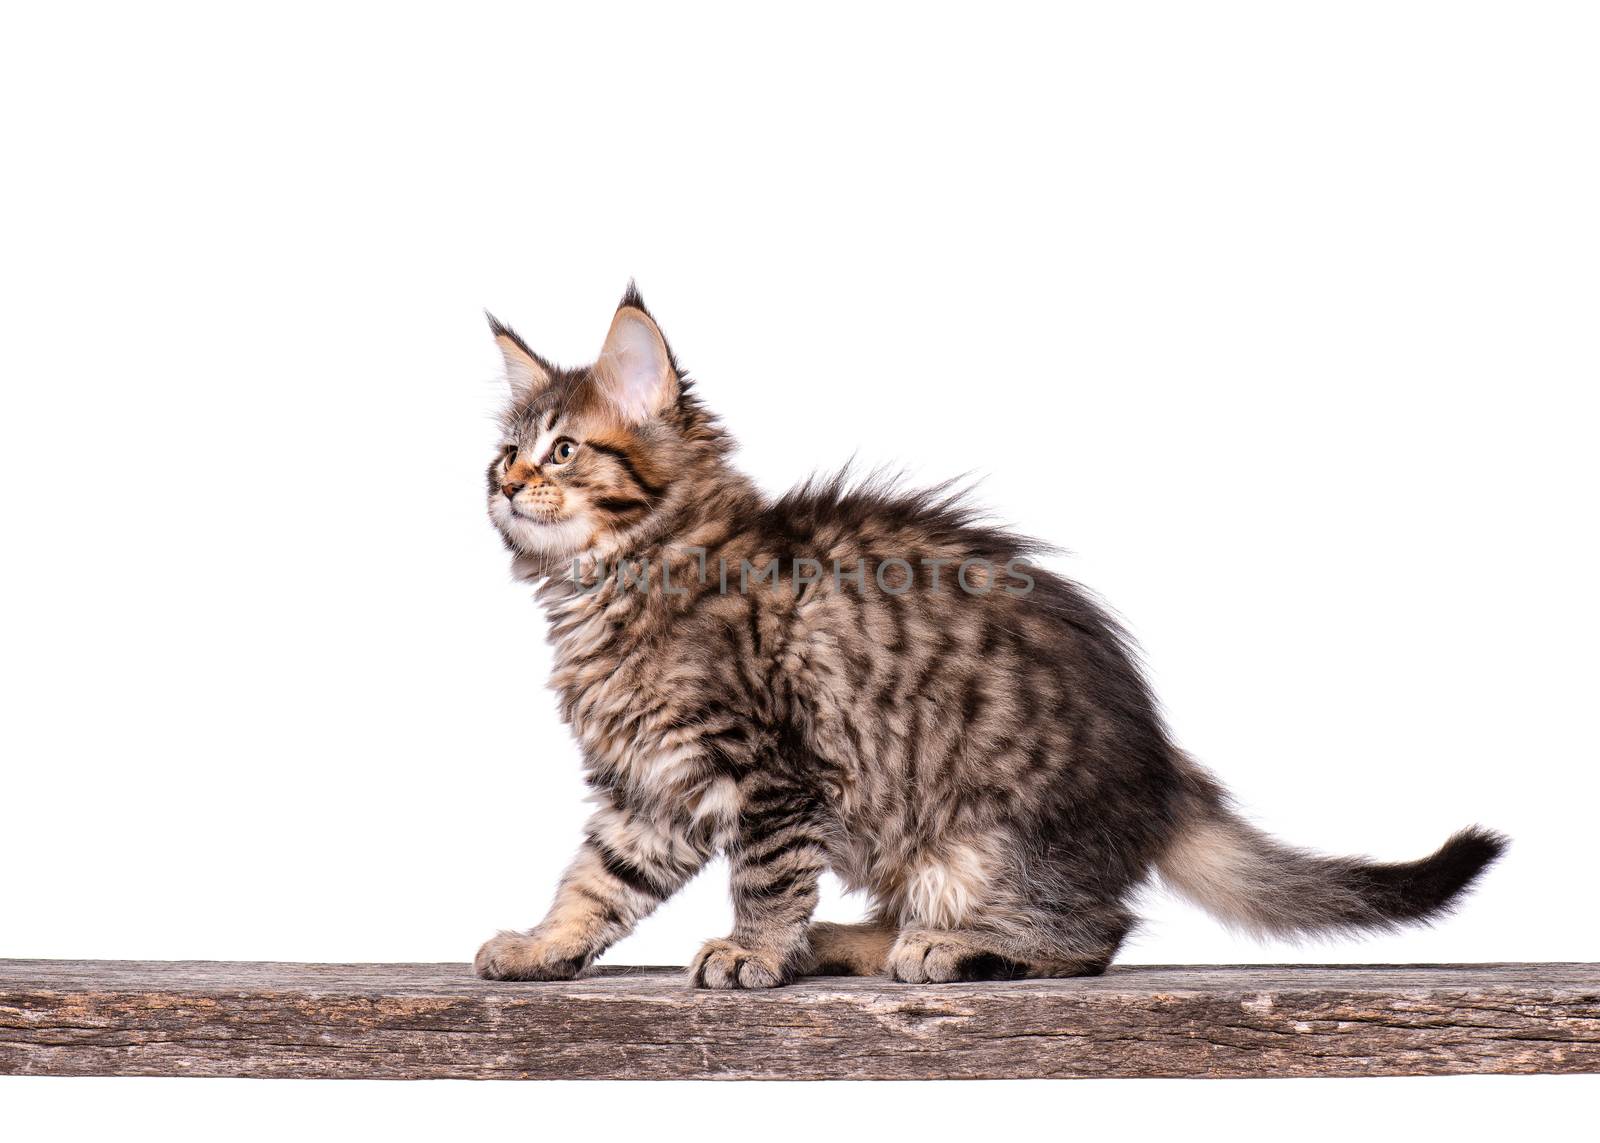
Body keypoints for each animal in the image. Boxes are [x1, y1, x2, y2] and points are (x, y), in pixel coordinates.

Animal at [467, 286, 1504, 986]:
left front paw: (750, 950)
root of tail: (1165, 773)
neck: (619, 582)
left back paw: (950, 949)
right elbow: (597, 880)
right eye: (503, 452)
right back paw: (851, 940)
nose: (506, 485)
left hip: (983, 842)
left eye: (563, 450)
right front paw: (544, 943)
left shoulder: (771, 770)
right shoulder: (650, 787)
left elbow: (763, 880)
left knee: (1093, 937)